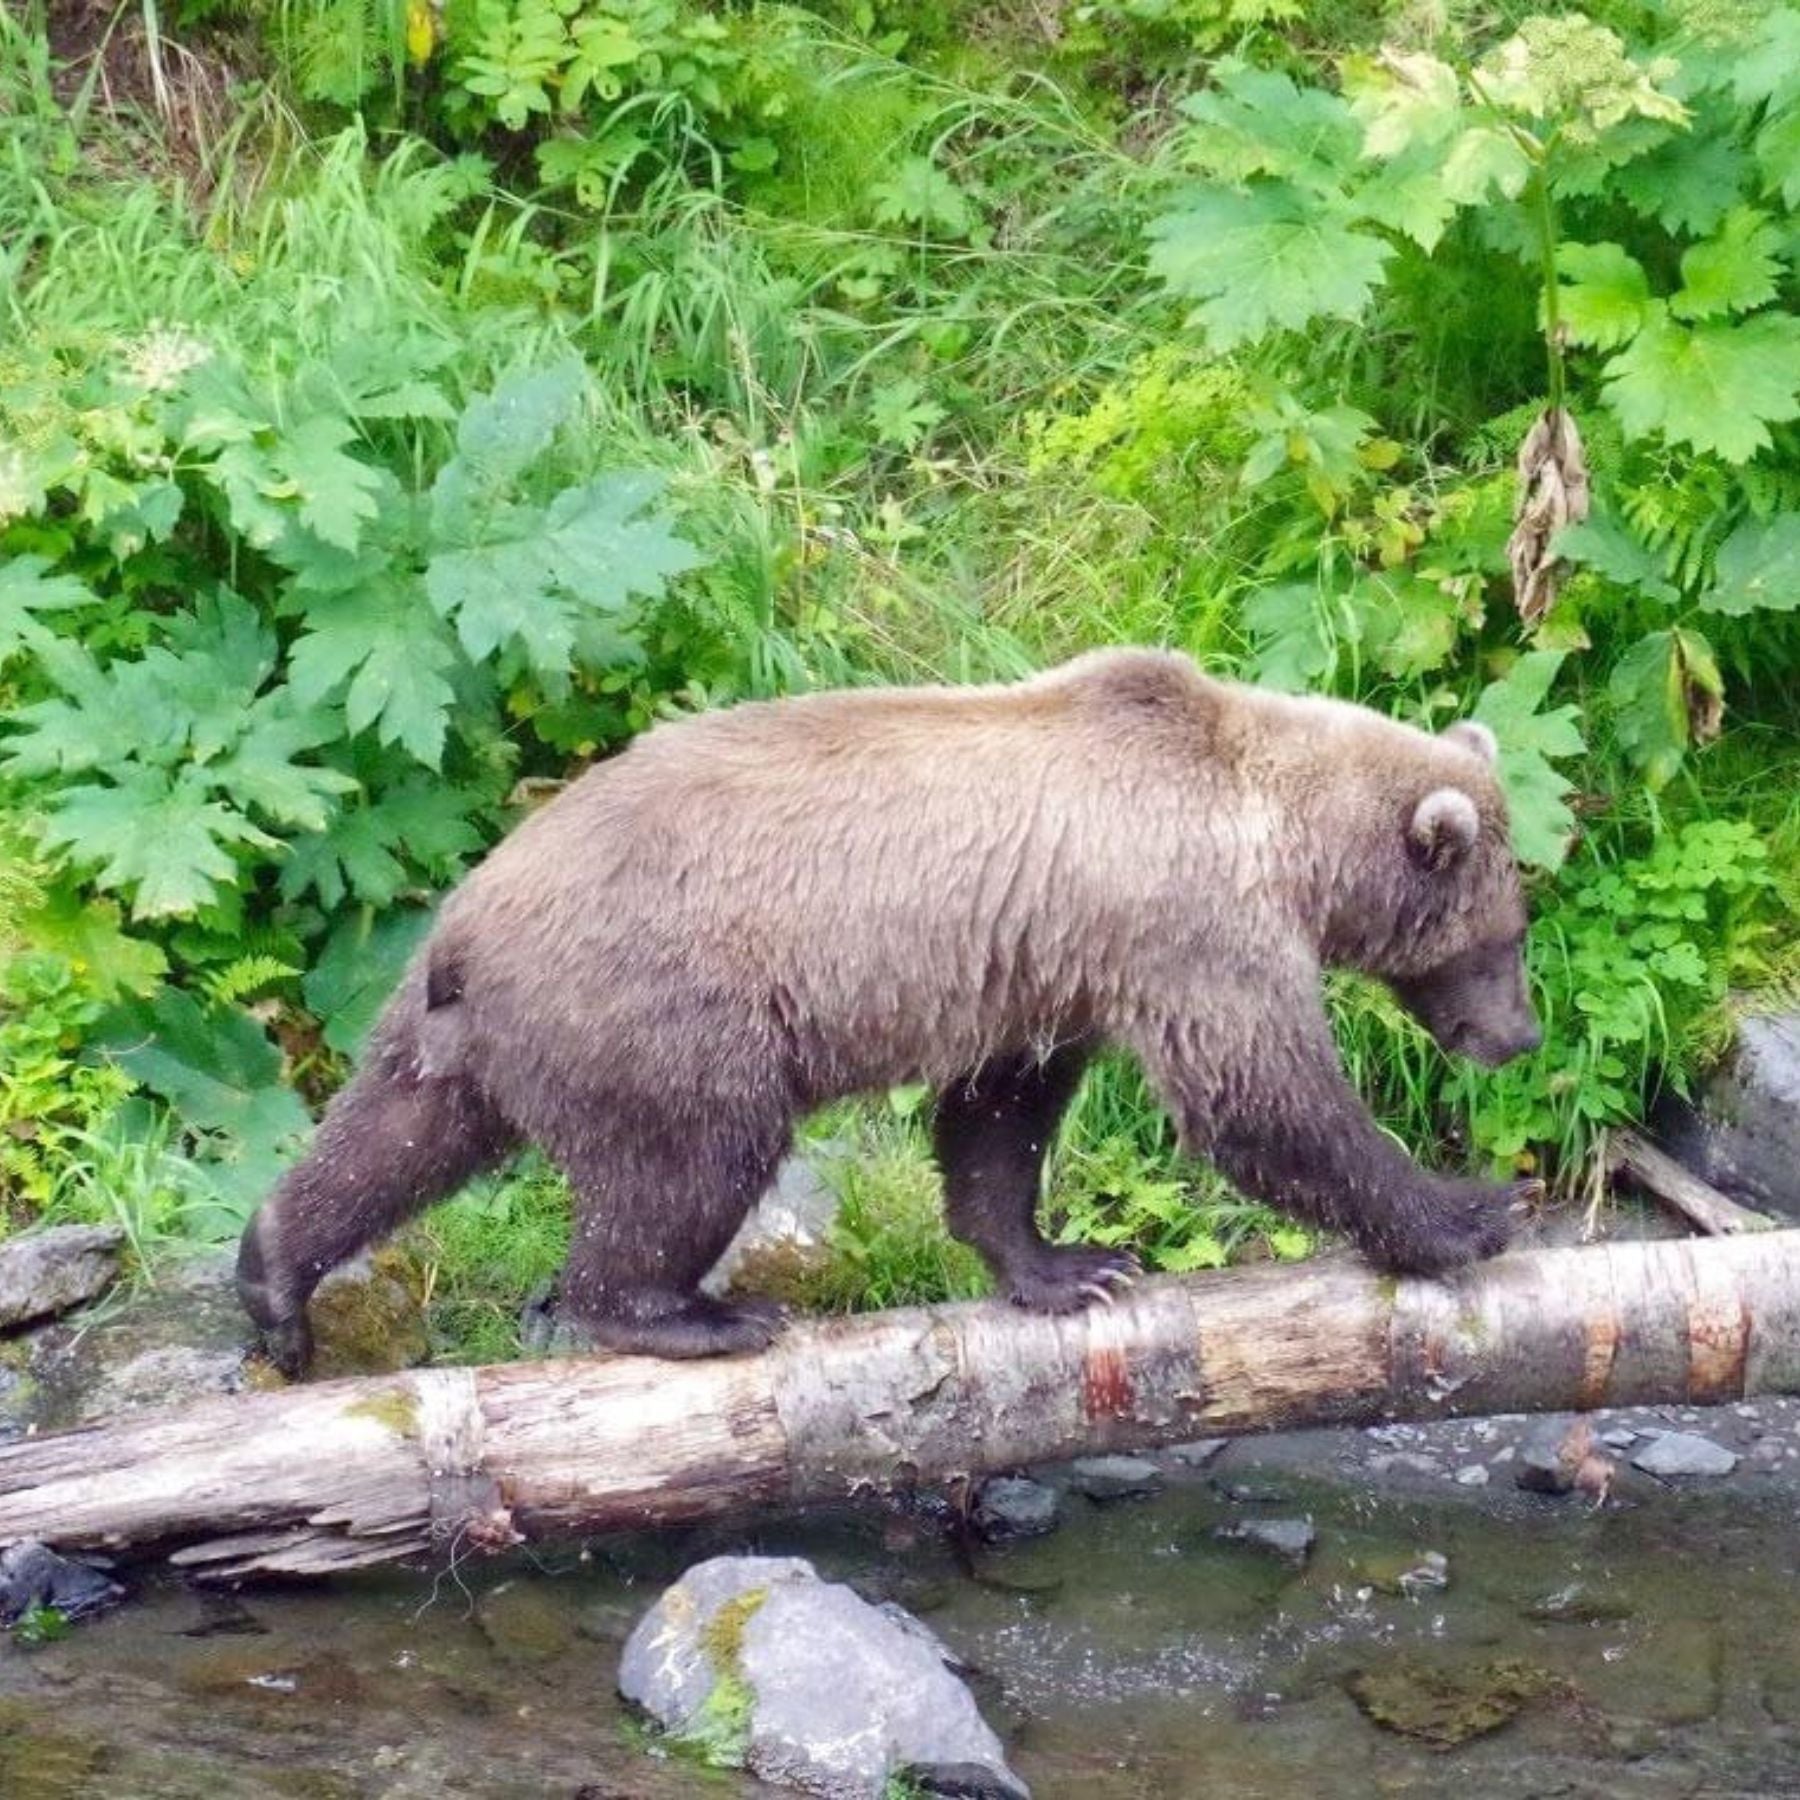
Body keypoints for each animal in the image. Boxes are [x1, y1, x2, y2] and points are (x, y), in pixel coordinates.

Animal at [235, 655, 1533, 1368]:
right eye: (1507, 937)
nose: (1517, 1037)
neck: (1271, 821)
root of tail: (468, 917)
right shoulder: (1184, 929)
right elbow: (1264, 1099)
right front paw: (1470, 1213)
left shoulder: (1047, 963)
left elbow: (999, 1120)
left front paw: (1069, 1265)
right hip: (660, 1005)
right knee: (693, 1157)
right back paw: (688, 1314)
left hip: (463, 1027)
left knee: (393, 1135)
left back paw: (275, 1281)